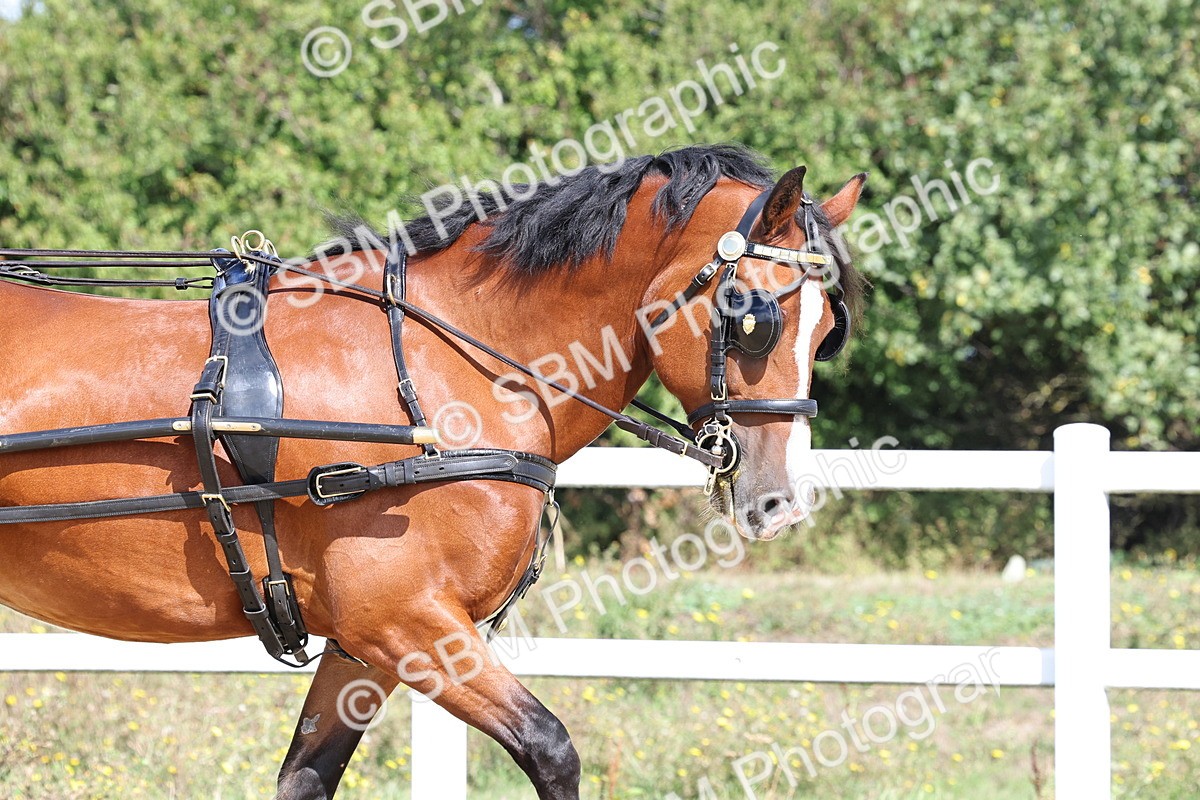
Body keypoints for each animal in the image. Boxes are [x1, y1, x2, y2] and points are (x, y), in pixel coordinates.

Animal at [0, 144, 866, 799]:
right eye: (754, 317)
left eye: (828, 327)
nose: (780, 501)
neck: (451, 364)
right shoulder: (407, 623)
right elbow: (551, 747)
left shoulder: (362, 646)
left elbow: (305, 777)